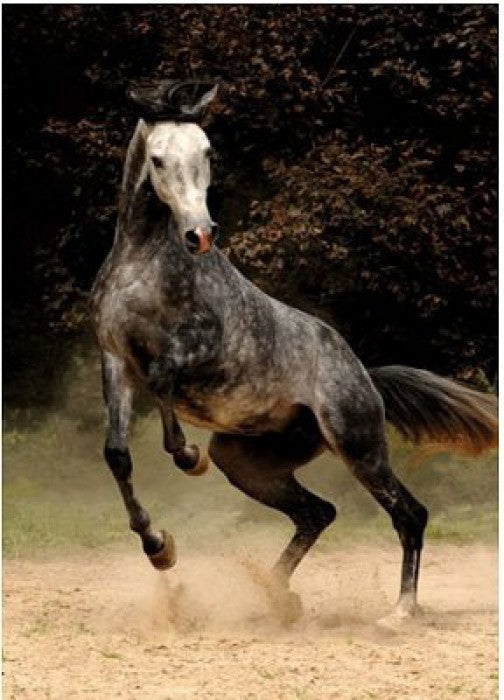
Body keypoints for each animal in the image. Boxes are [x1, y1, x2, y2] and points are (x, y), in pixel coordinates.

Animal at [90, 81, 497, 623]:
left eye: (207, 152)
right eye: (158, 159)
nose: (200, 234)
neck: (144, 265)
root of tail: (365, 376)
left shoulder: (197, 350)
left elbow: (162, 376)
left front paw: (188, 458)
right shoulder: (115, 358)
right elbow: (117, 454)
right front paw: (159, 548)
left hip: (357, 444)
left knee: (409, 514)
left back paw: (399, 612)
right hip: (248, 460)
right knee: (318, 512)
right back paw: (274, 595)